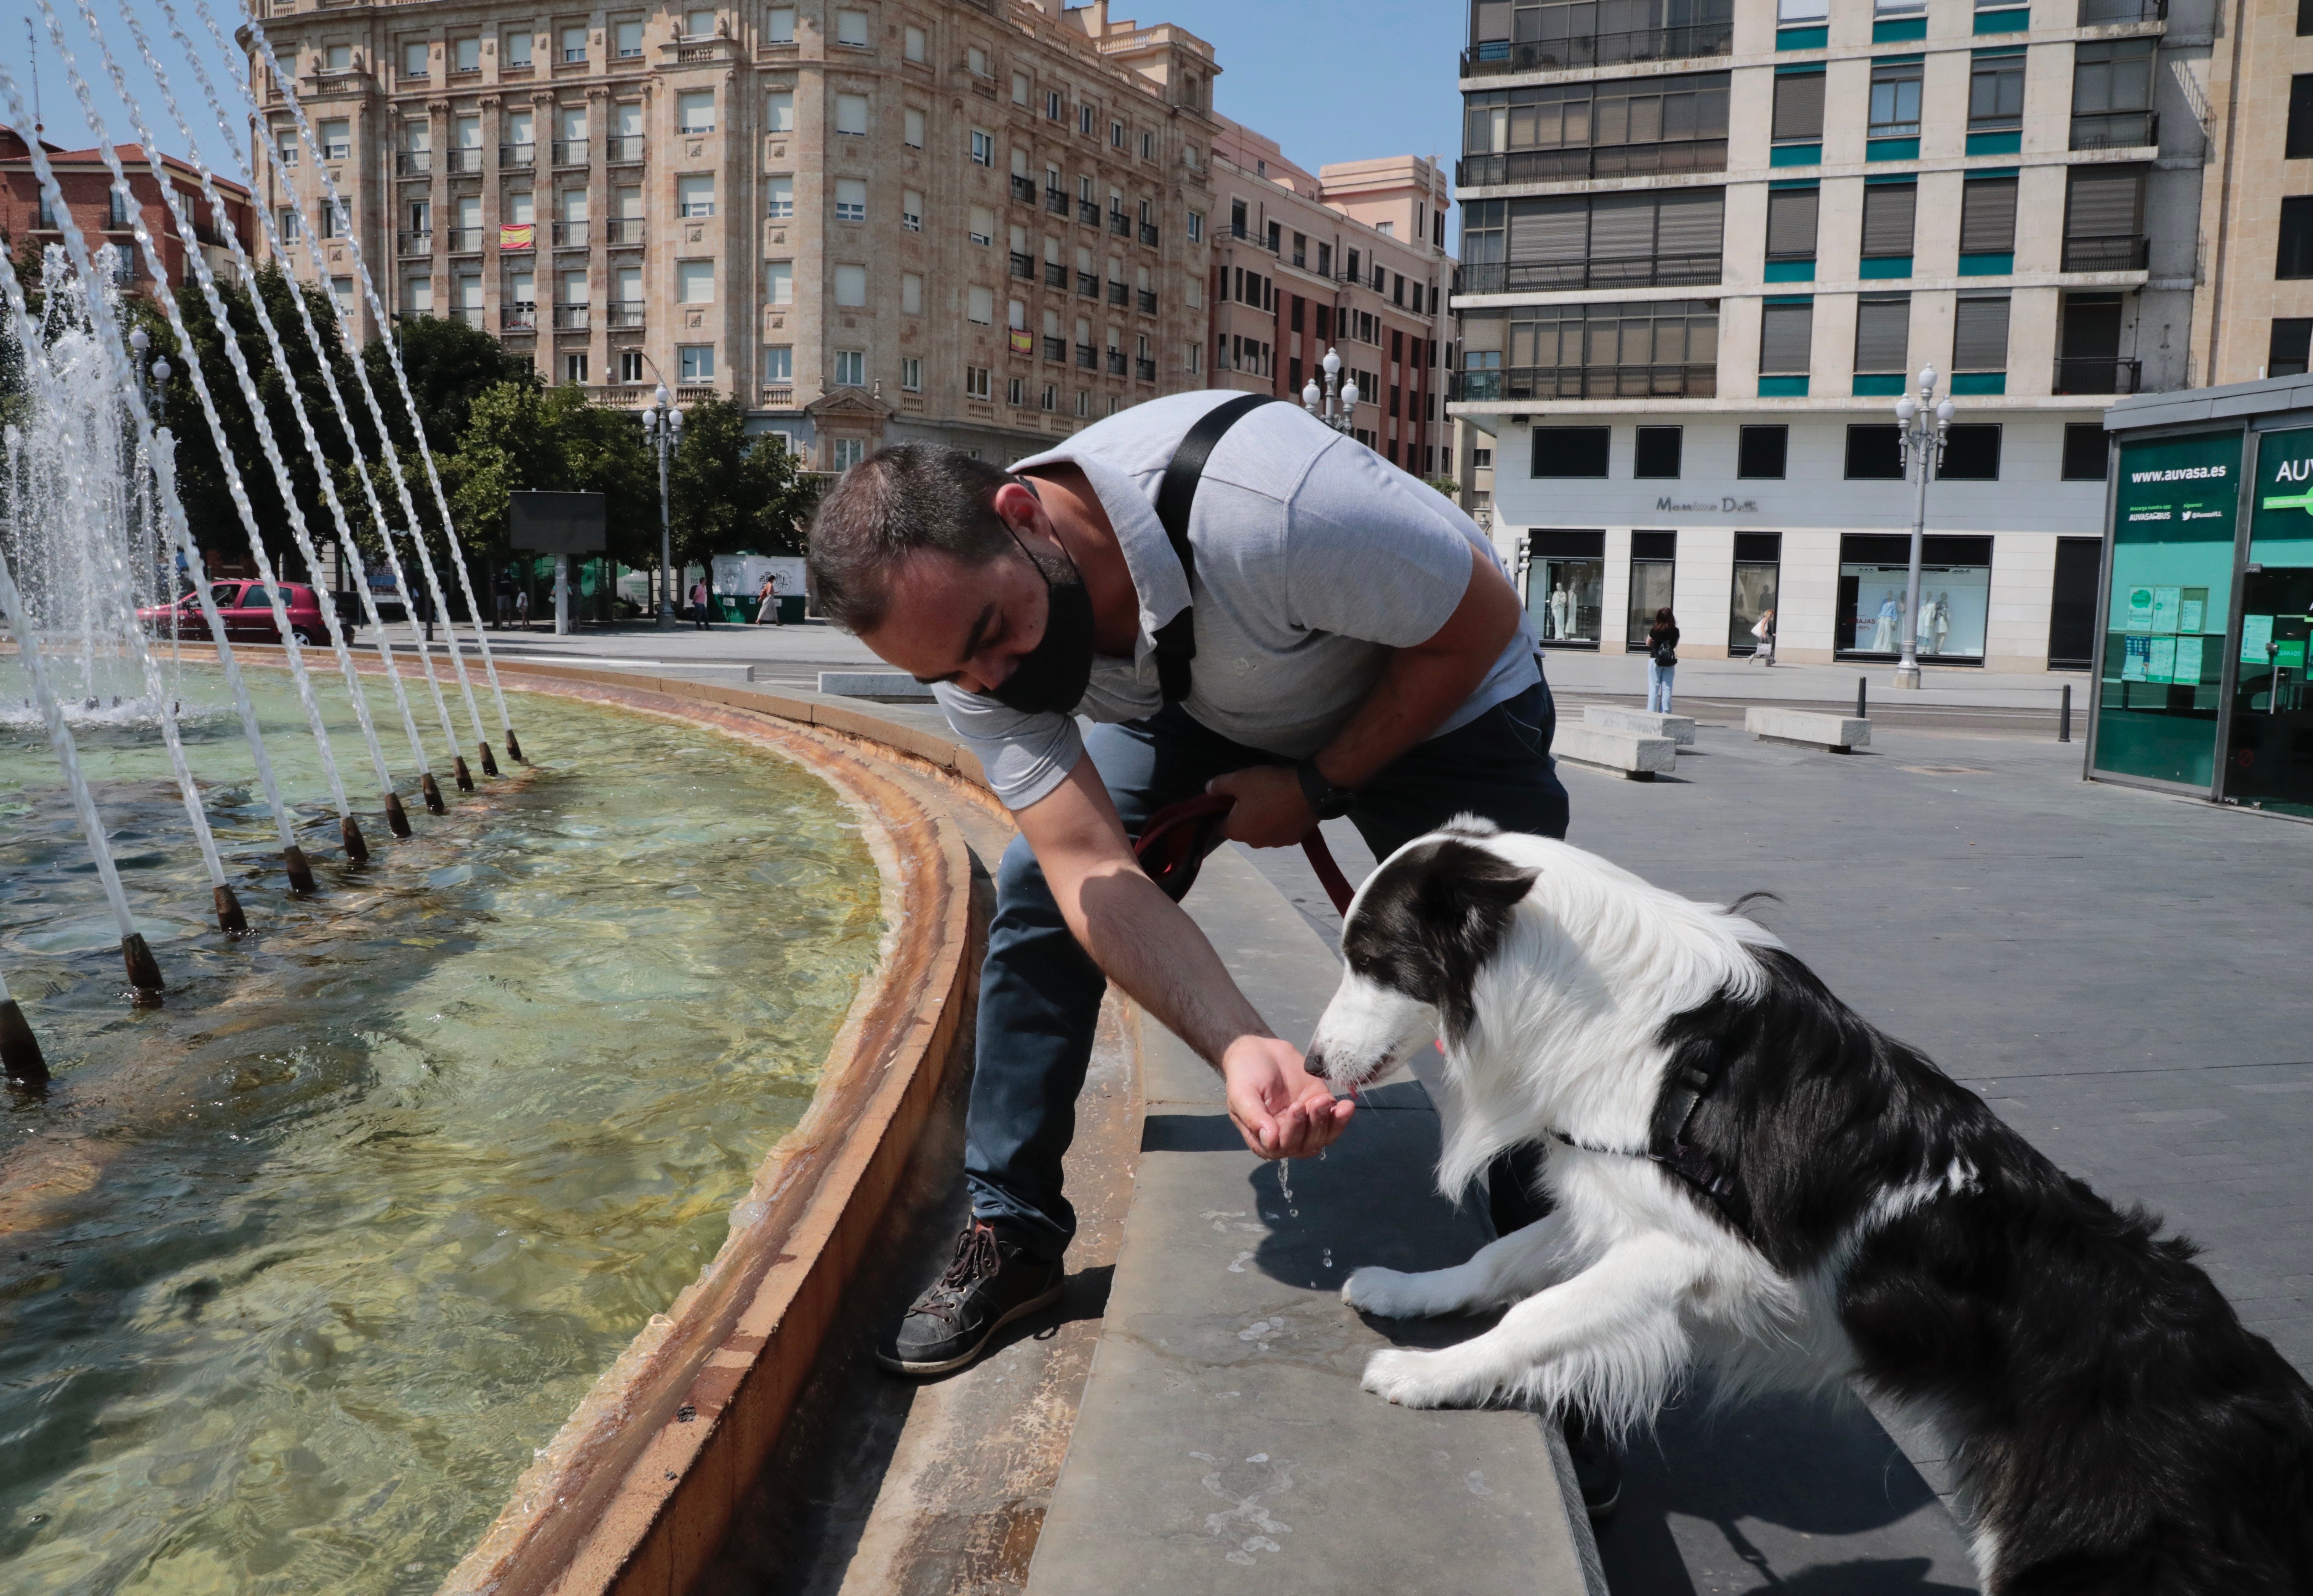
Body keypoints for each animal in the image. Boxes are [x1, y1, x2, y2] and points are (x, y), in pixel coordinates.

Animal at [1313, 818, 2304, 1591]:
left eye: (1371, 962)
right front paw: (1407, 1291)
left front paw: (1427, 1375)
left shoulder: (1692, 1250)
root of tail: (2268, 1392)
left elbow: (1538, 1314)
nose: (1316, 1063)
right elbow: (1498, 1258)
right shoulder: (1628, 1203)